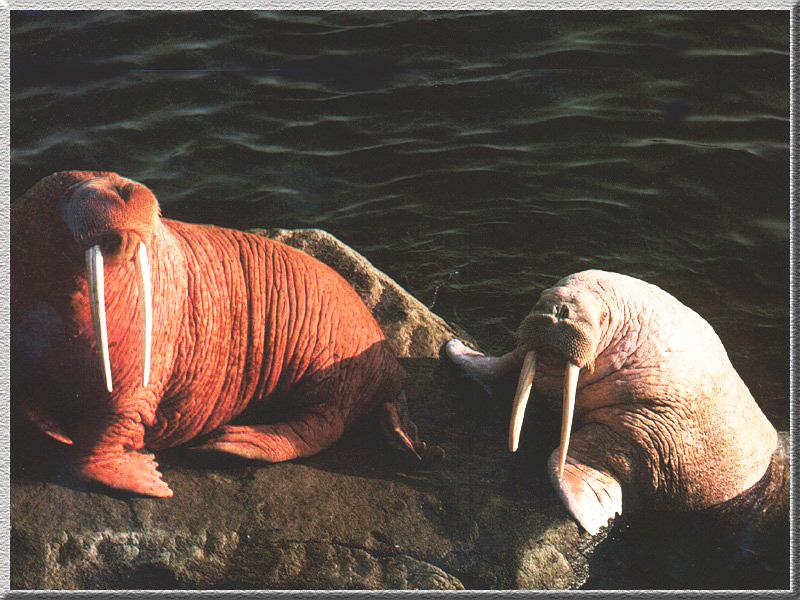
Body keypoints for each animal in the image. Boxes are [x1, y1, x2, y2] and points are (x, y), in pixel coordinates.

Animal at [11, 171, 431, 498]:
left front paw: (144, 479)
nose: (123, 187)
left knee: (327, 420)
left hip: (330, 355)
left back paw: (232, 441)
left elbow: (114, 419)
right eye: (67, 194)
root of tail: (391, 366)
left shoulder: (143, 366)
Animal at [445, 270, 779, 535]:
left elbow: (594, 447)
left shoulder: (650, 423)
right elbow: (501, 365)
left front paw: (585, 510)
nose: (558, 306)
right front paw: (456, 348)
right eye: (541, 295)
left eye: (603, 316)